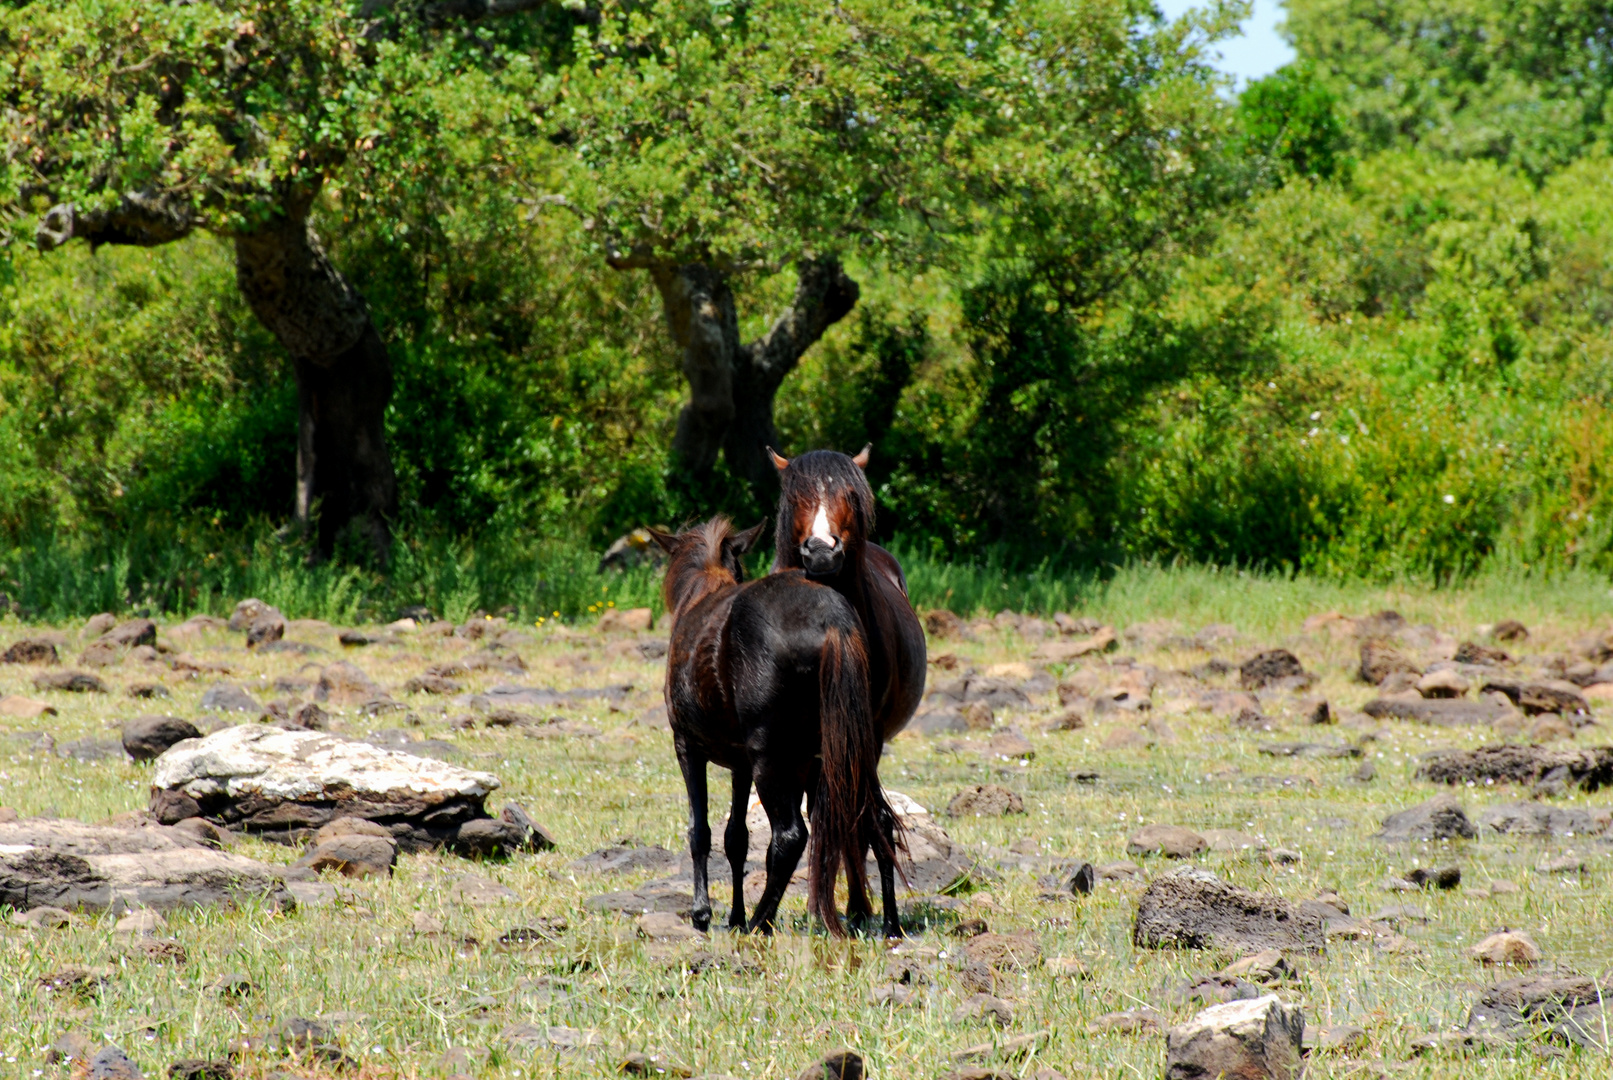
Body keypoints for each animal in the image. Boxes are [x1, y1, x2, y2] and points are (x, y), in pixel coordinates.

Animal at [654, 519, 909, 941]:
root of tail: (832, 619)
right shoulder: (740, 764)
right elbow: (736, 838)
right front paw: (733, 914)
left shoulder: (688, 746)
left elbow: (700, 831)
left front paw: (703, 912)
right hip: (852, 749)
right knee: (876, 820)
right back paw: (888, 923)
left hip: (772, 758)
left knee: (791, 836)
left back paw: (761, 921)